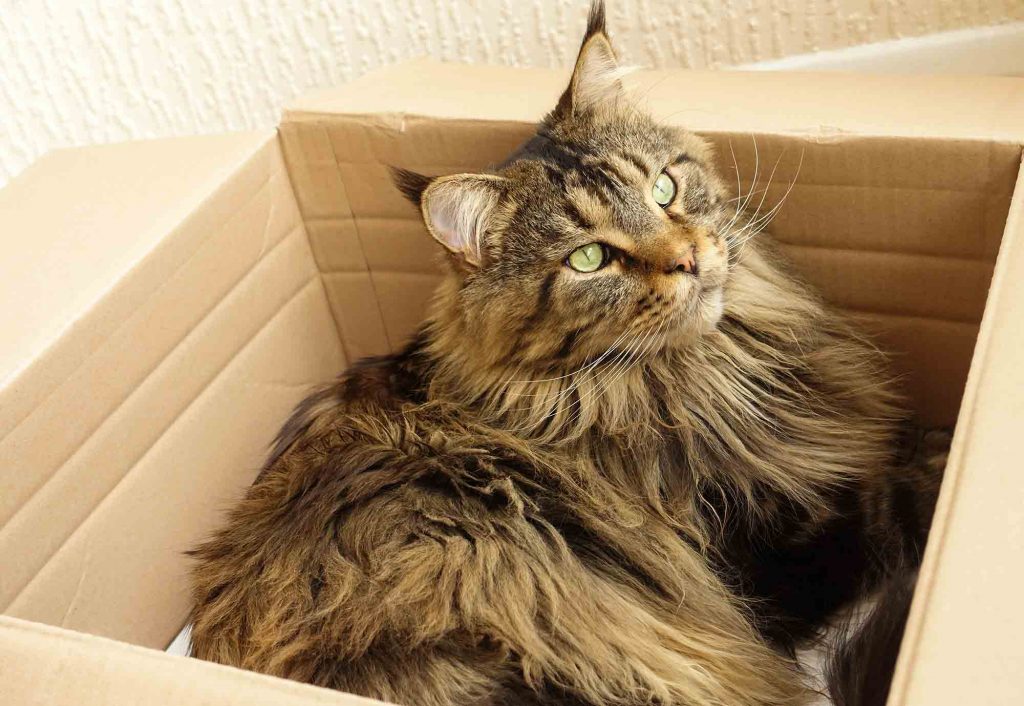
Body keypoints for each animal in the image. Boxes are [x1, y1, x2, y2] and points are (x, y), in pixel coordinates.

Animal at [186, 2, 942, 700]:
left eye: (664, 188)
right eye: (589, 258)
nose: (689, 259)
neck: (706, 367)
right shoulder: (771, 561)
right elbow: (900, 494)